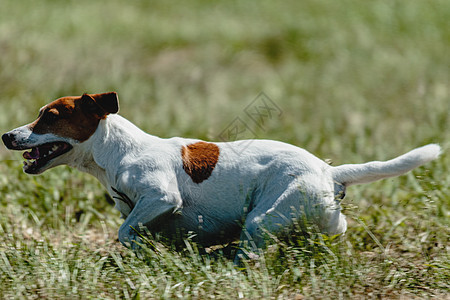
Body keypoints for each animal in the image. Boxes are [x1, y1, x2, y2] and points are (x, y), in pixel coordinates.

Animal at [1, 92, 442, 260]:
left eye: (50, 116)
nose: (8, 135)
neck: (117, 150)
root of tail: (328, 170)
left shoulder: (161, 197)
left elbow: (126, 231)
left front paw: (145, 250)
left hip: (262, 217)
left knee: (253, 246)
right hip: (311, 215)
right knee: (335, 227)